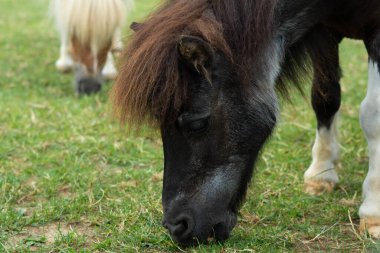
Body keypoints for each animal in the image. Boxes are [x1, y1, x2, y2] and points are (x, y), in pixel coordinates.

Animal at [113, 0, 380, 246]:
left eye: (197, 124)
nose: (176, 226)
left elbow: (372, 116)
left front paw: (373, 210)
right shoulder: (323, 31)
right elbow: (325, 97)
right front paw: (321, 173)